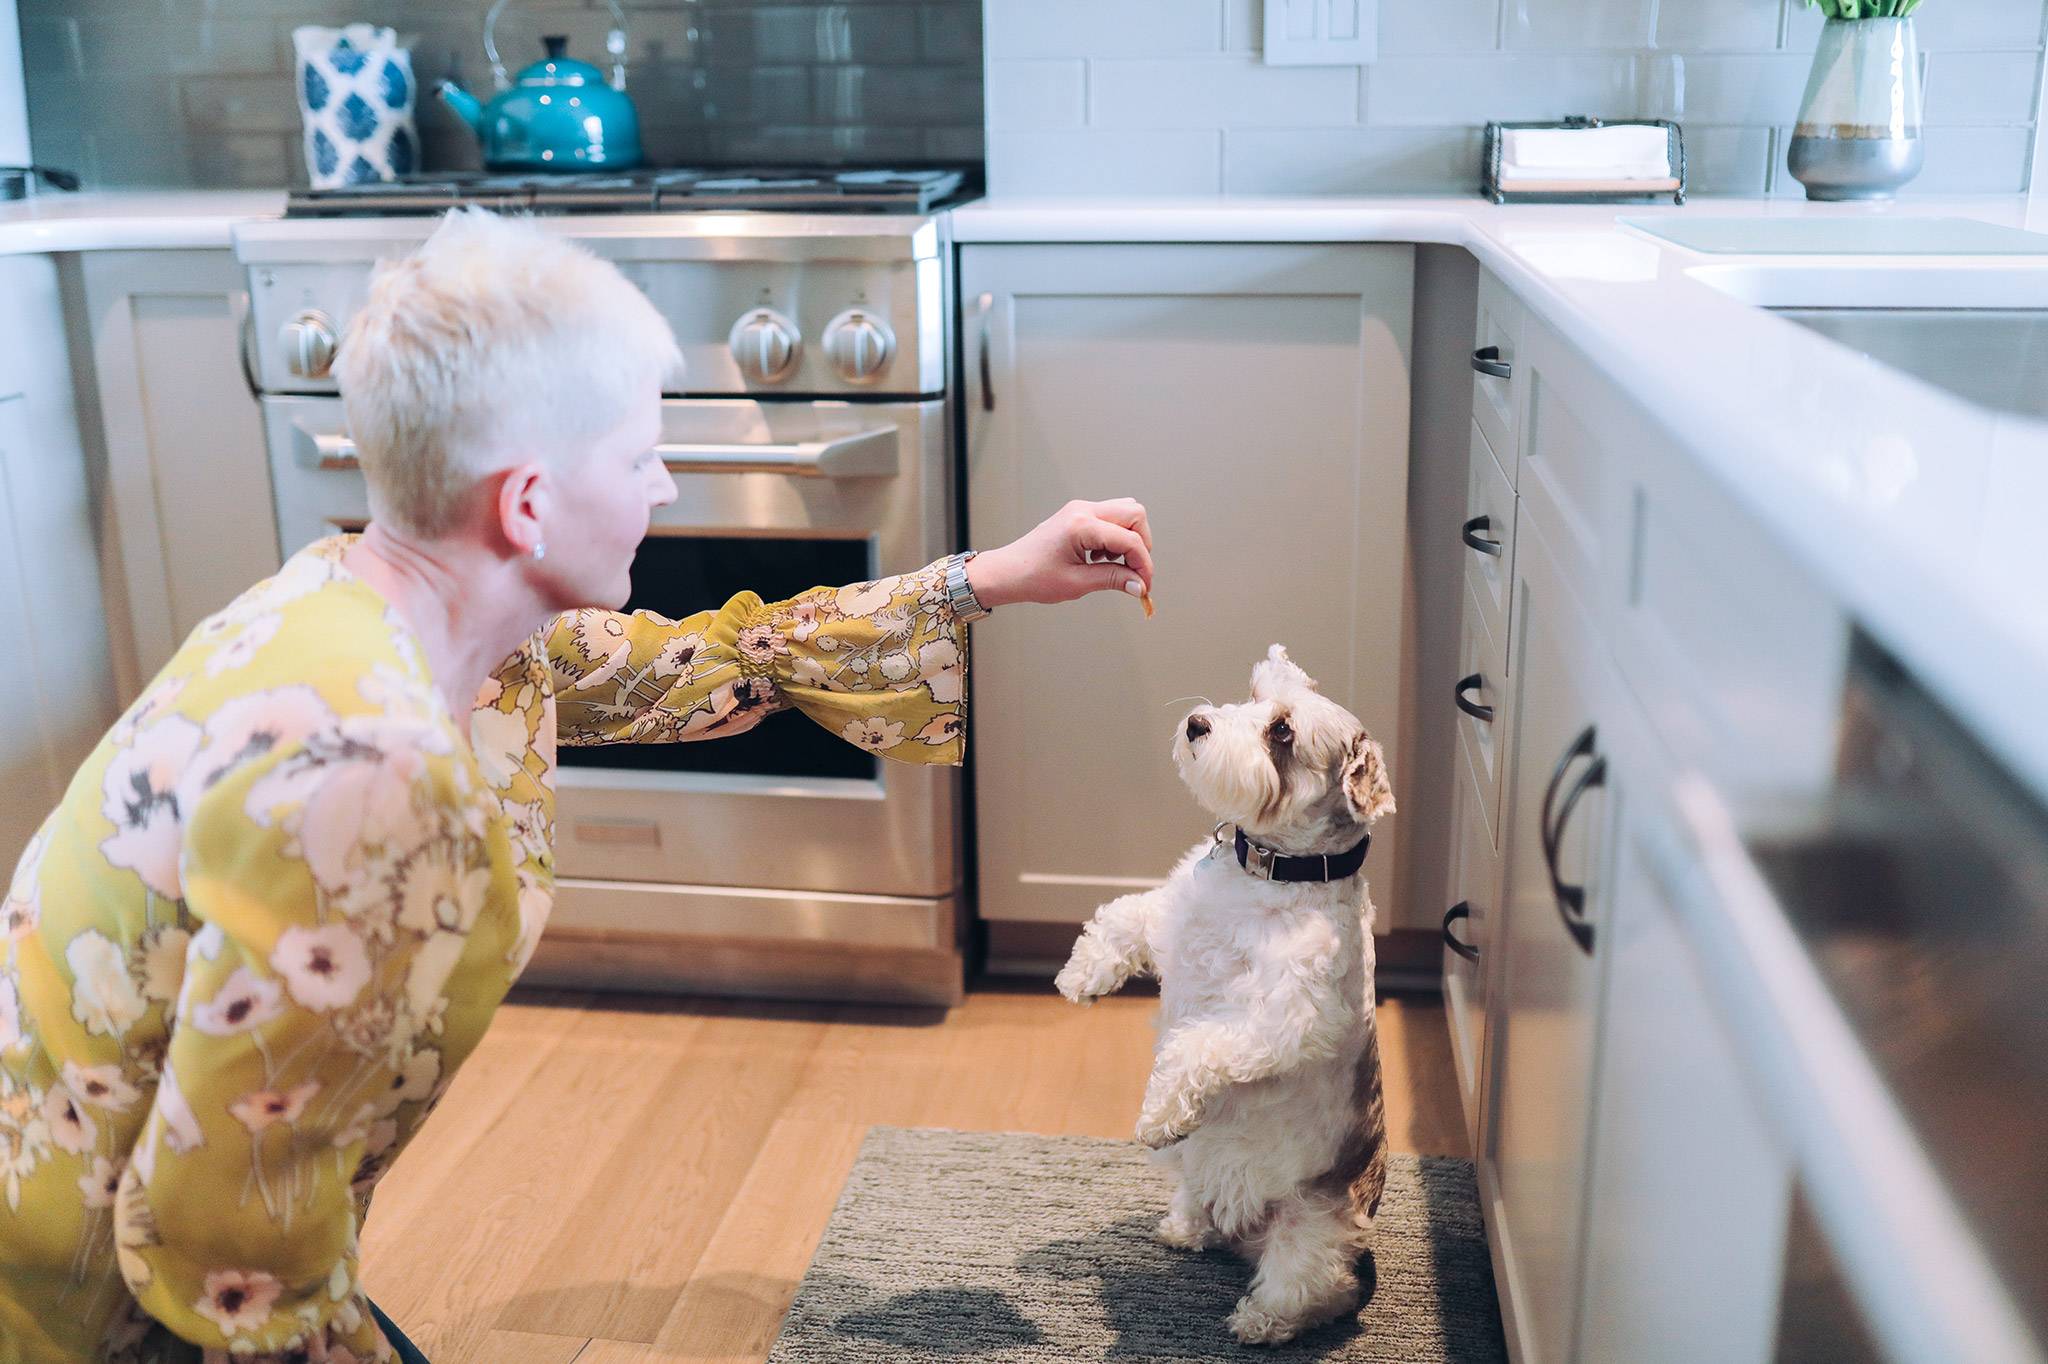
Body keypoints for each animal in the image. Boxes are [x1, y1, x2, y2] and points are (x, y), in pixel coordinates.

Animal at [1056, 643, 1392, 1343]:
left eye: (1282, 731)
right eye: (1255, 695)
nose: (1197, 724)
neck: (1268, 875)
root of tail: (1249, 1226)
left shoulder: (1280, 1018)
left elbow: (1196, 1049)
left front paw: (1158, 1115)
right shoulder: (1172, 926)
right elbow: (1122, 916)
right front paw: (1081, 976)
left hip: (1309, 1235)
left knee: (1319, 1291)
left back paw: (1259, 1320)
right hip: (1201, 1178)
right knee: (1207, 1210)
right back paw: (1188, 1227)